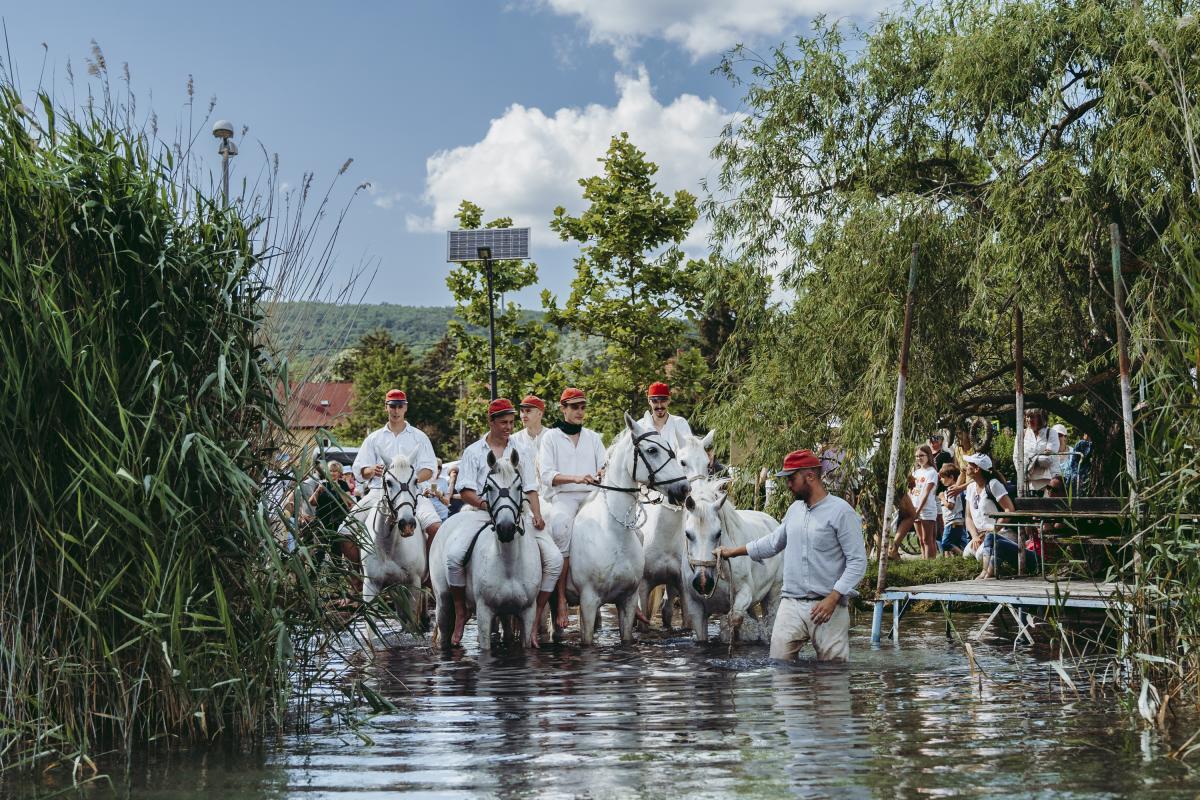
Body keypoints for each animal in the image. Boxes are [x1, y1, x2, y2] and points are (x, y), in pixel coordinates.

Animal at [350, 453, 427, 623]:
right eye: (389, 482)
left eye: (416, 481)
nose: (407, 524)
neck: (389, 547)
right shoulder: (371, 586)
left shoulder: (413, 585)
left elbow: (412, 623)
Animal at [429, 450, 542, 652]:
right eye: (489, 487)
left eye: (520, 487)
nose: (506, 528)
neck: (509, 564)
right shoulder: (484, 612)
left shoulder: (528, 612)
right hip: (443, 600)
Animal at [681, 482, 782, 642]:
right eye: (688, 534)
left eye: (718, 533)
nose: (703, 583)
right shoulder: (695, 608)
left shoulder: (744, 593)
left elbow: (734, 620)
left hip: (773, 594)